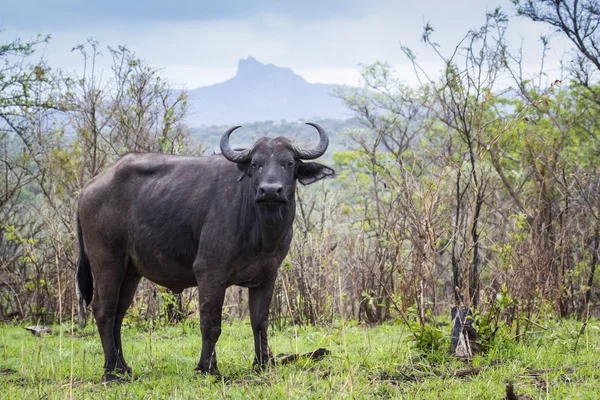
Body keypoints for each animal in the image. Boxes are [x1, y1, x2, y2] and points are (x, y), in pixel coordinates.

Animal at [76, 122, 332, 382]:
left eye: (288, 163)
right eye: (255, 163)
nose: (270, 191)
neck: (260, 231)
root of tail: (87, 189)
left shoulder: (267, 276)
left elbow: (260, 322)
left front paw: (262, 363)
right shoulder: (210, 272)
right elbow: (211, 323)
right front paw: (208, 368)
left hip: (130, 271)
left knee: (118, 313)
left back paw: (123, 366)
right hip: (107, 261)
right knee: (103, 310)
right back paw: (111, 371)